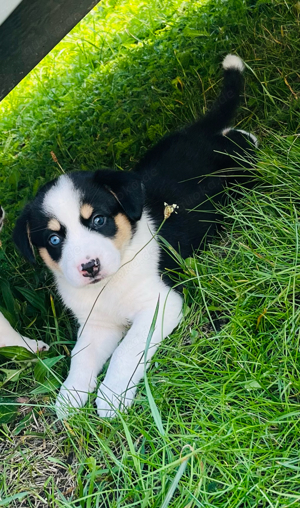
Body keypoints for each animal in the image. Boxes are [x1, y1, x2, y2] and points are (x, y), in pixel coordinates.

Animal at [12, 55, 256, 416]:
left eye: (99, 220)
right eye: (54, 240)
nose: (90, 267)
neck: (111, 282)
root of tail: (196, 131)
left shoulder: (160, 303)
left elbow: (126, 350)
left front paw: (111, 397)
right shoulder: (96, 323)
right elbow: (80, 356)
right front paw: (71, 397)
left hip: (240, 168)